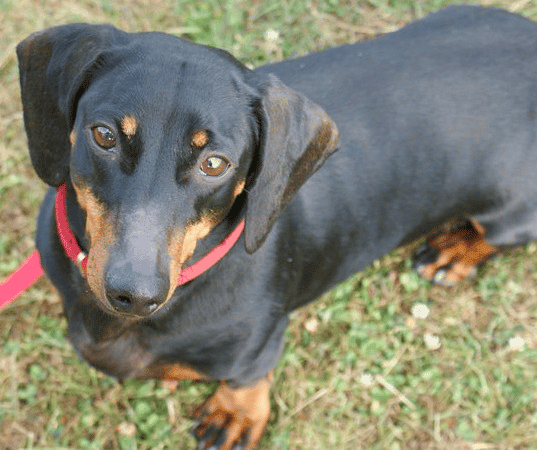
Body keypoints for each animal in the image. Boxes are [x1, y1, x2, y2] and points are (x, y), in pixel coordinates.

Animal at [15, 5, 536, 448]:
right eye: (104, 135)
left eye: (215, 163)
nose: (133, 294)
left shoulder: (262, 341)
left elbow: (247, 376)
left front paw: (236, 414)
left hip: (511, 215)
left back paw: (455, 249)